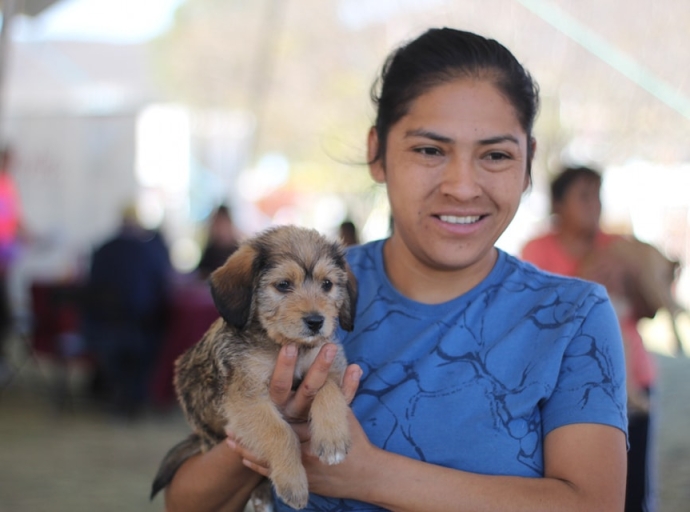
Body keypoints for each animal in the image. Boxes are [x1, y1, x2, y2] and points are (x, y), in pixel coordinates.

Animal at [150, 226, 354, 510]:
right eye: (283, 285)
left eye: (327, 284)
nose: (316, 322)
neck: (283, 345)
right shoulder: (245, 398)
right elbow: (281, 432)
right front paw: (293, 481)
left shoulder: (328, 363)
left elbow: (329, 390)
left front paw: (333, 438)